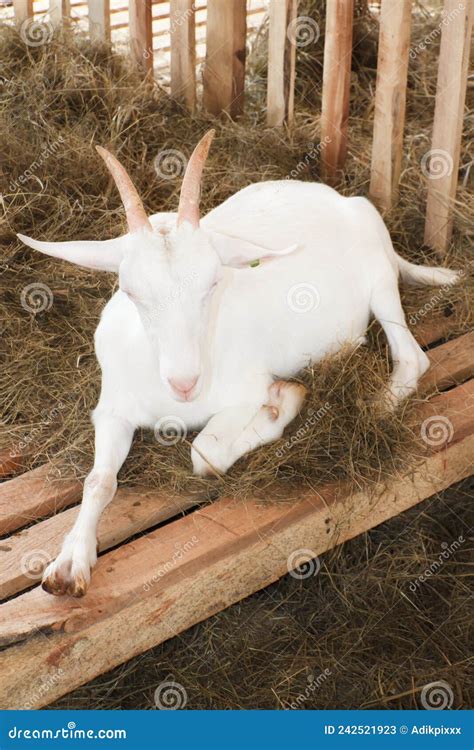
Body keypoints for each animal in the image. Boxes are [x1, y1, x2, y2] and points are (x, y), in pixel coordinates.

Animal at [18, 130, 459, 596]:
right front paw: (69, 565)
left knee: (412, 357)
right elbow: (98, 480)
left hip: (380, 281)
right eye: (130, 290)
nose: (185, 383)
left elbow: (205, 453)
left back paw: (374, 405)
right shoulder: (111, 410)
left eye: (214, 282)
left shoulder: (245, 390)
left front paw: (284, 402)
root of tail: (344, 200)